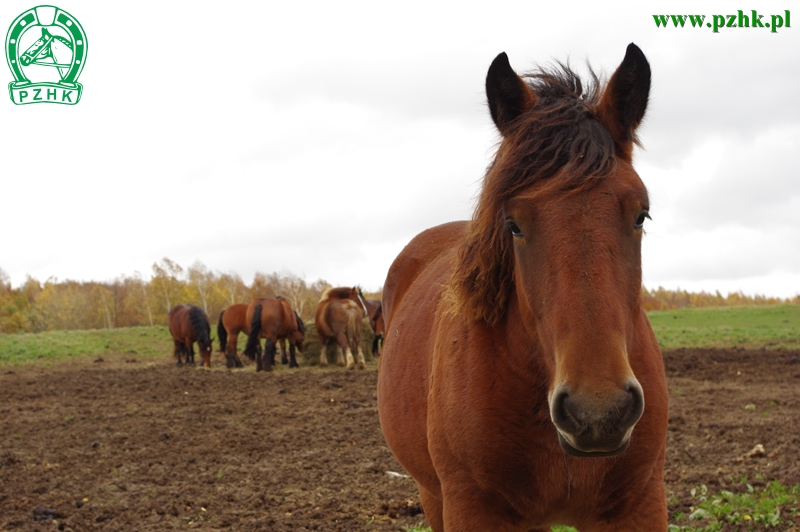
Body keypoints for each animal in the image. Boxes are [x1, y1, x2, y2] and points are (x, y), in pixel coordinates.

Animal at [376, 42, 668, 532]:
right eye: (513, 224)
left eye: (640, 214)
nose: (598, 413)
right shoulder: (474, 508)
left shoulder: (638, 505)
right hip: (433, 495)